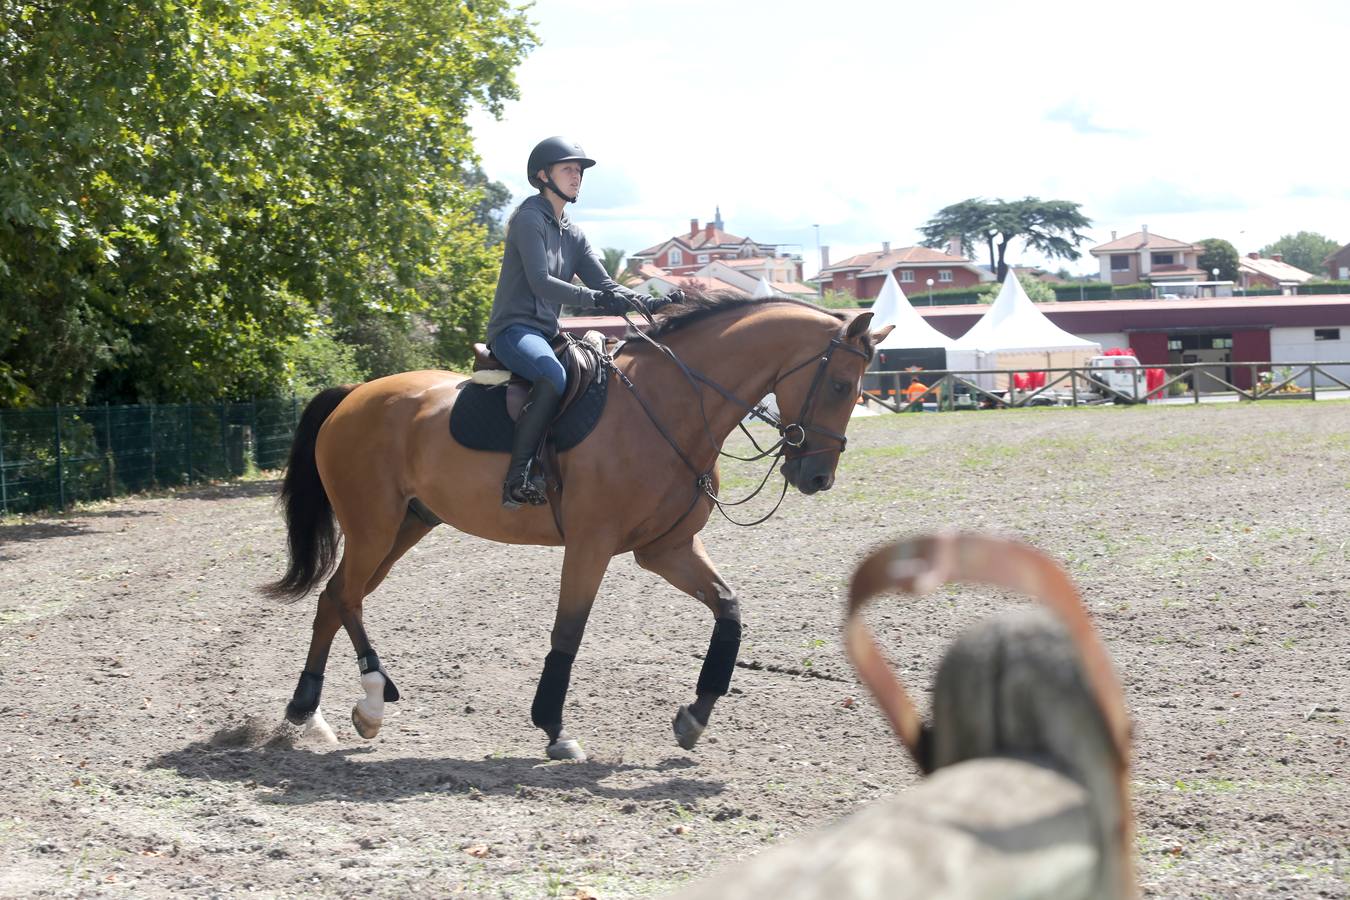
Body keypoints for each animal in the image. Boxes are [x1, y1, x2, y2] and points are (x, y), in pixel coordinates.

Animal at [263, 295, 896, 761]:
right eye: (840, 384)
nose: (817, 476)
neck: (670, 406)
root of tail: (354, 396)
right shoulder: (591, 547)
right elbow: (568, 634)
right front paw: (553, 728)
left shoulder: (666, 548)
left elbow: (729, 609)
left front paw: (695, 715)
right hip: (374, 527)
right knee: (346, 599)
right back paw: (372, 700)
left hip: (404, 528)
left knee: (334, 599)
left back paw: (307, 709)